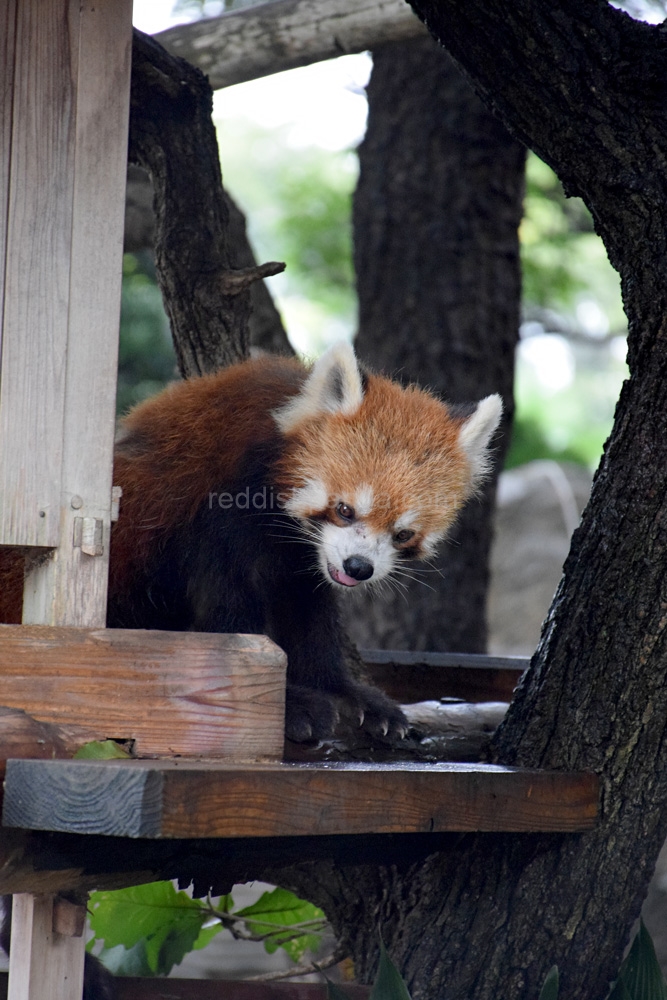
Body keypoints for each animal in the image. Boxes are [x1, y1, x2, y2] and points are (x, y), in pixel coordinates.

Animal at [0, 344, 500, 744]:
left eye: (402, 534)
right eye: (344, 509)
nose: (359, 567)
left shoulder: (304, 558)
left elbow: (309, 614)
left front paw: (346, 693)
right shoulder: (216, 517)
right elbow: (229, 614)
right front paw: (291, 704)